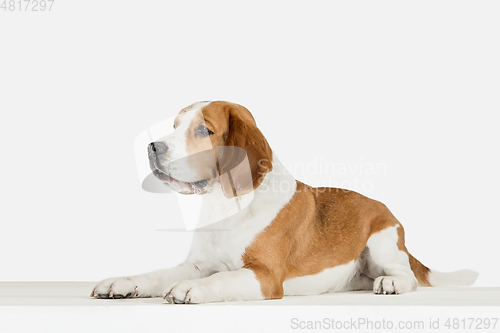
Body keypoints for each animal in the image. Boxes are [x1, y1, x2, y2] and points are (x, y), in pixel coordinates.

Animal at [92, 100, 478, 302]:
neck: (227, 206)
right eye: (175, 125)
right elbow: (157, 274)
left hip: (382, 242)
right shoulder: (199, 263)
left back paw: (391, 283)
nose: (152, 147)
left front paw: (190, 289)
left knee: (407, 275)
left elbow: (219, 280)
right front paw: (122, 283)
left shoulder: (264, 276)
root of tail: (385, 208)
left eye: (203, 130)